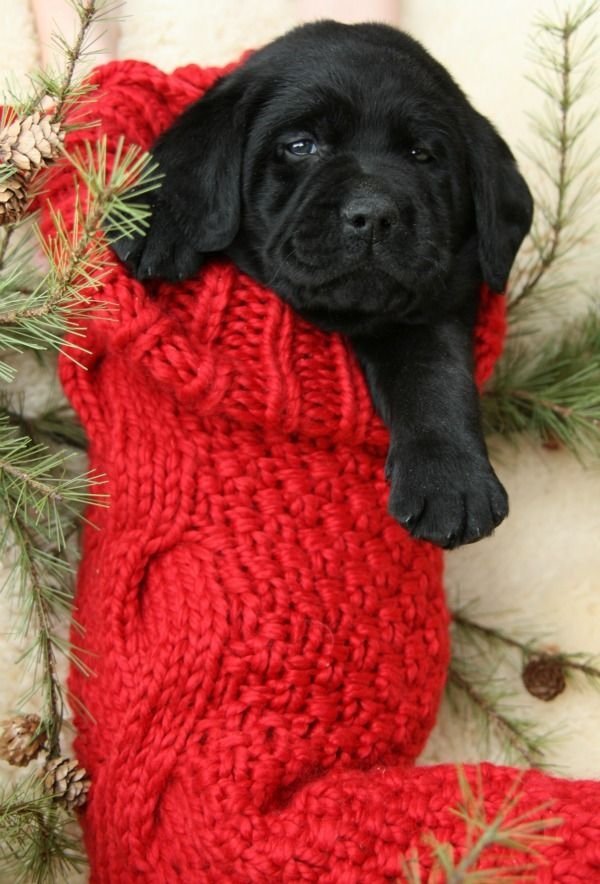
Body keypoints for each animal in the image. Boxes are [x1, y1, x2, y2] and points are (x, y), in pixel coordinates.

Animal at [112, 20, 536, 548]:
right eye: (300, 146)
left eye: (421, 154)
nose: (373, 215)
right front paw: (158, 215)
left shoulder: (433, 300)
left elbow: (435, 371)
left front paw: (451, 480)